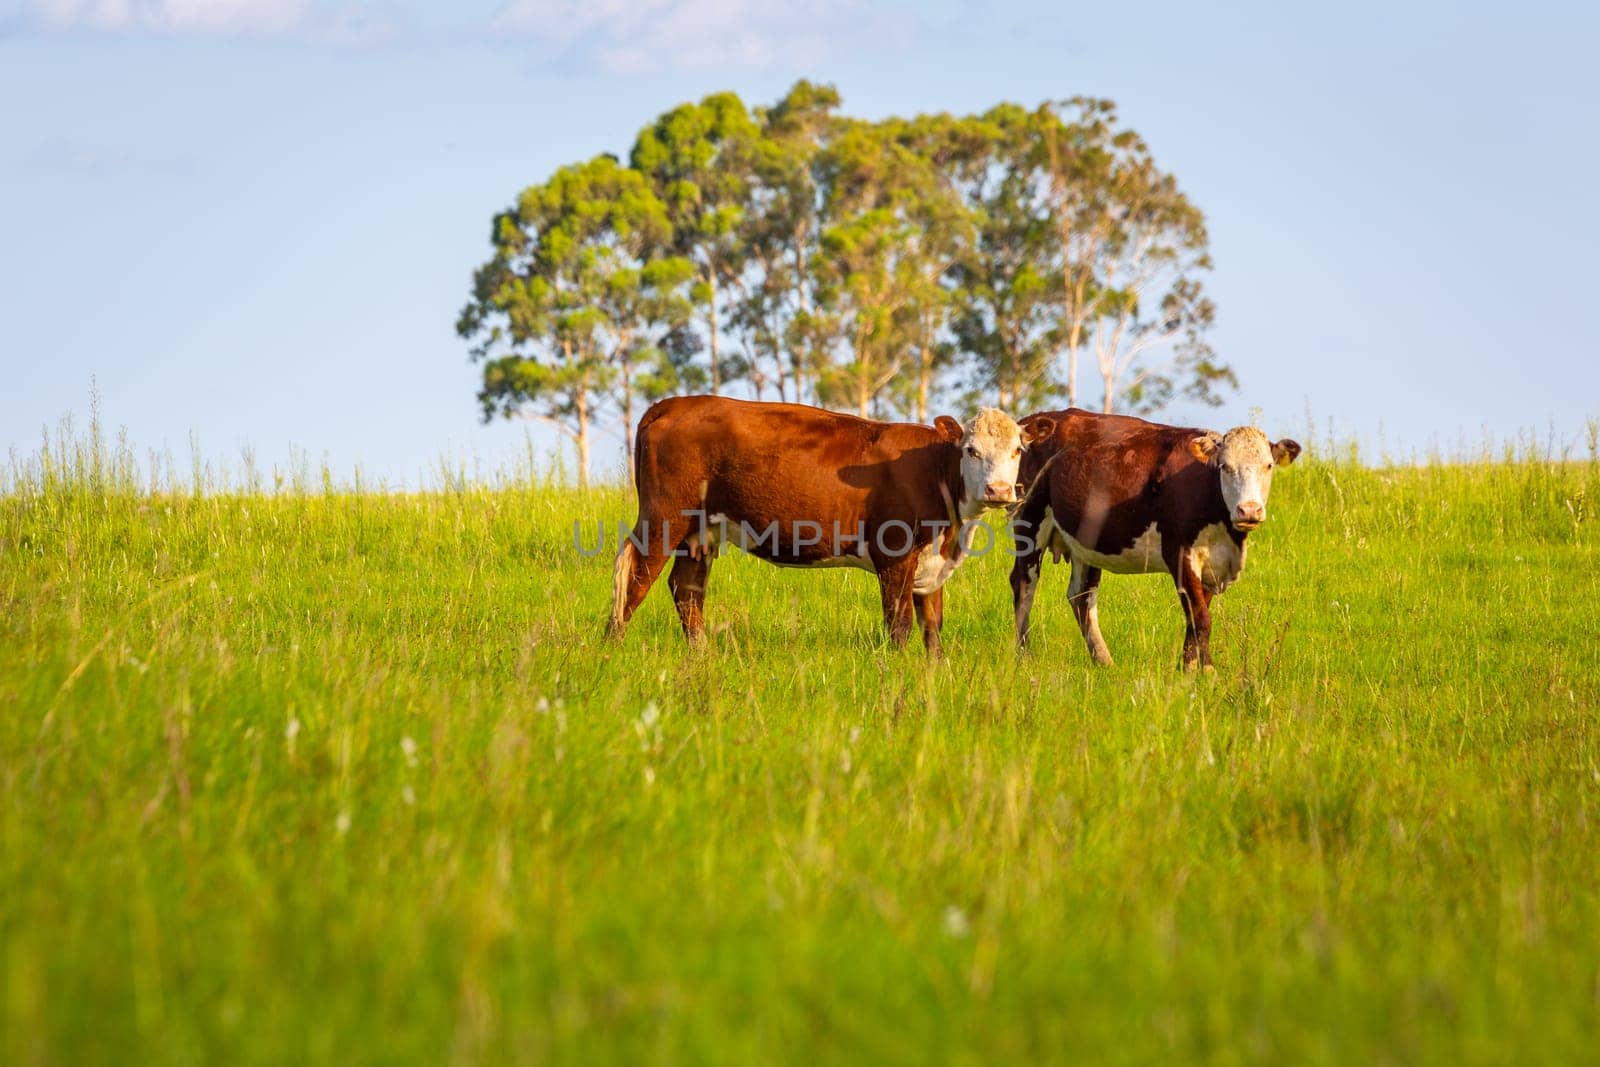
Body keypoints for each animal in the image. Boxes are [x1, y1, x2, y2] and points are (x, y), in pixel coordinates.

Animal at [608, 398, 1049, 655]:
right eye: (971, 450)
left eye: (1017, 450)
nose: (998, 490)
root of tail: (676, 403)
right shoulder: (894, 553)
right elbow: (900, 623)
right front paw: (898, 671)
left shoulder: (931, 565)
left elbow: (932, 627)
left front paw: (933, 672)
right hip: (664, 517)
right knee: (635, 576)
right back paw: (612, 647)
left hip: (700, 529)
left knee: (686, 587)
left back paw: (701, 654)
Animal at [1011, 409, 1299, 668]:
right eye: (1225, 466)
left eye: (1268, 466)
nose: (1249, 510)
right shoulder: (1180, 554)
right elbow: (1201, 619)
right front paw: (1207, 672)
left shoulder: (1212, 566)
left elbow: (1194, 619)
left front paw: (1187, 670)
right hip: (1029, 522)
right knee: (1024, 584)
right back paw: (1024, 657)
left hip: (1086, 542)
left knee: (1081, 596)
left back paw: (1104, 661)